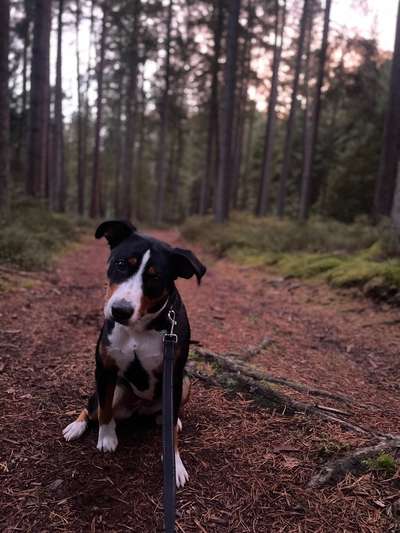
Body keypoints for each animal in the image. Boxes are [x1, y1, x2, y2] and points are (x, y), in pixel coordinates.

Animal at [63, 219, 206, 486]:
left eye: (155, 277)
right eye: (121, 264)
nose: (120, 310)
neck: (140, 327)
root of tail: (139, 408)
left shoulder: (174, 374)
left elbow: (171, 432)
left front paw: (174, 465)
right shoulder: (104, 369)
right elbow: (104, 410)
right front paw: (107, 438)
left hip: (185, 383)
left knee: (169, 415)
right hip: (118, 389)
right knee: (93, 407)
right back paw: (76, 426)